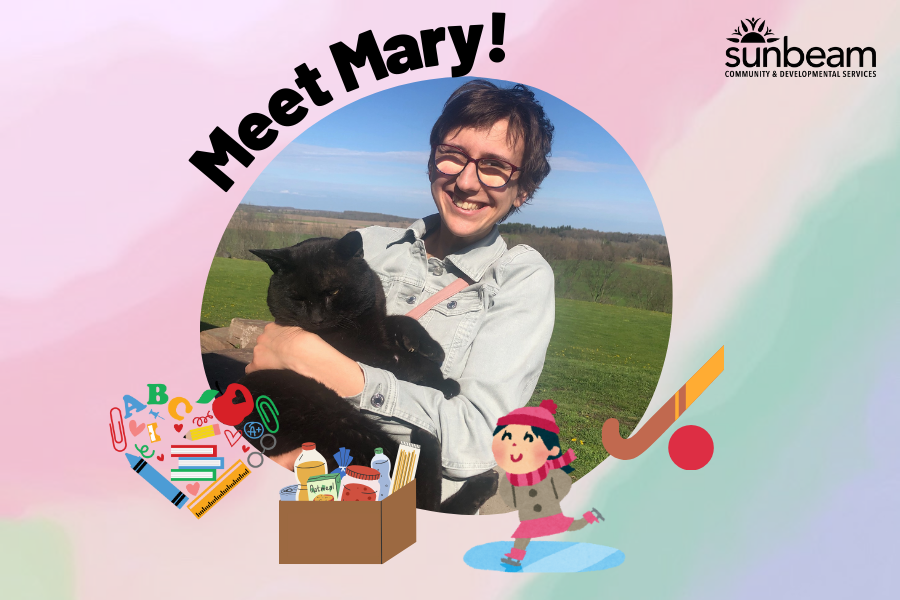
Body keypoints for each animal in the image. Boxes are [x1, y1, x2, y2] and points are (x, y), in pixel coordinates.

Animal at [230, 230, 500, 510]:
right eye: (297, 298)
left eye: (334, 291)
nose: (316, 319)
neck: (360, 321)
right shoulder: (364, 352)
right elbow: (403, 363)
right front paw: (442, 380)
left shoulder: (378, 323)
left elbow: (398, 320)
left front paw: (428, 346)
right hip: (344, 426)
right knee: (419, 498)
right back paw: (433, 442)